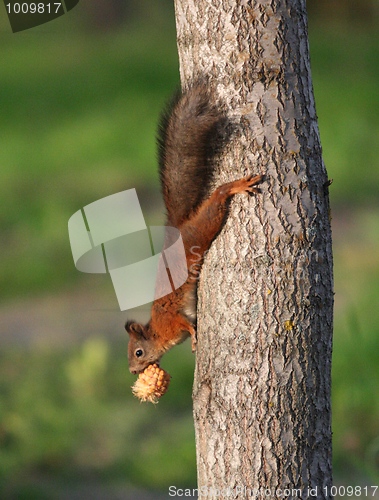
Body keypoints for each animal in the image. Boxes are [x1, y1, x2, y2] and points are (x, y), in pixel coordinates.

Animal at [126, 82, 262, 374]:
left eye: (138, 352)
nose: (132, 371)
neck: (157, 331)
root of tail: (180, 228)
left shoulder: (171, 320)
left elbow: (185, 324)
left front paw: (193, 337)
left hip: (204, 227)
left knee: (217, 198)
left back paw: (234, 187)